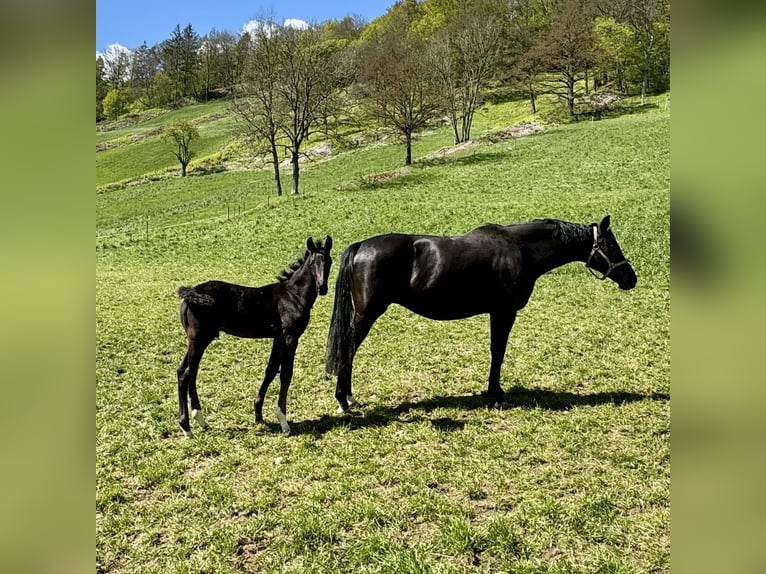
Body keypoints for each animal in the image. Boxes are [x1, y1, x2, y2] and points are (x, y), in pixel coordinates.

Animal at [177, 236, 332, 438]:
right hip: (199, 339)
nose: (322, 288)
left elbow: (271, 370)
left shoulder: (278, 337)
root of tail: (189, 295)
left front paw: (258, 414)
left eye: (329, 261)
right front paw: (283, 421)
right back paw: (186, 428)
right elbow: (286, 374)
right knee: (185, 373)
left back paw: (200, 420)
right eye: (313, 263)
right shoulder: (290, 337)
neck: (293, 296)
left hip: (198, 340)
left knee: (188, 371)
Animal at [328, 217, 640, 414]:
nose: (631, 278)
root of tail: (361, 246)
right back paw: (343, 400)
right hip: (367, 314)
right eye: (610, 245)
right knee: (348, 349)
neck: (520, 249)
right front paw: (496, 395)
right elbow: (498, 351)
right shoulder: (504, 311)